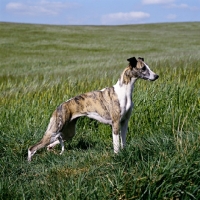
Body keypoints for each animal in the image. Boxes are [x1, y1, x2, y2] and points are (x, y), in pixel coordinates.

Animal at [28, 56, 159, 161]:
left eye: (147, 67)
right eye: (143, 68)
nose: (157, 76)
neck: (124, 92)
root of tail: (59, 107)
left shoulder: (124, 122)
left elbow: (123, 142)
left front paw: (124, 152)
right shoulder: (115, 123)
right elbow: (116, 144)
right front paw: (117, 156)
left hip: (68, 133)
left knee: (51, 144)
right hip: (54, 130)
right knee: (32, 148)